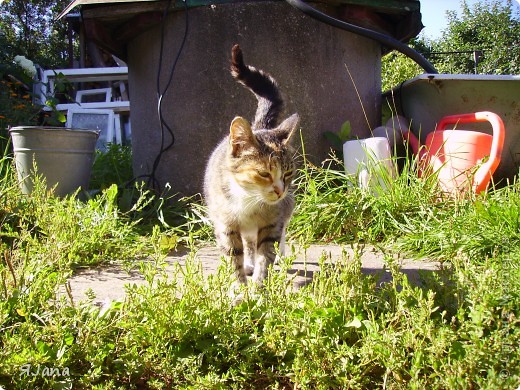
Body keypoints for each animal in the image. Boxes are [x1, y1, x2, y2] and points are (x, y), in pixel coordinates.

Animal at [204, 45, 300, 296]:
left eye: (288, 173)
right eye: (264, 173)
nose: (280, 191)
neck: (248, 199)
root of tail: (260, 127)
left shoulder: (271, 223)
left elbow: (266, 254)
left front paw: (259, 289)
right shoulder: (226, 225)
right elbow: (233, 255)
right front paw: (239, 290)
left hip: (286, 208)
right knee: (248, 244)